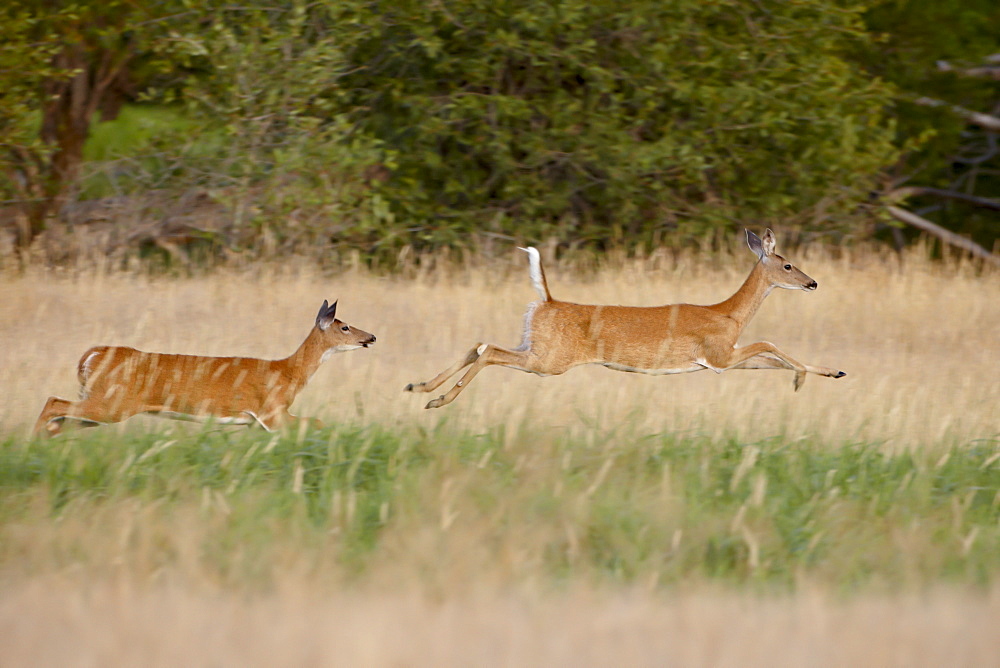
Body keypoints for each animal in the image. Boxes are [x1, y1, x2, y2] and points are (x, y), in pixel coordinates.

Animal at [34, 298, 376, 436]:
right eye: (344, 326)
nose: (371, 336)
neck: (287, 373)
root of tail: (91, 355)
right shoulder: (271, 411)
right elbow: (317, 421)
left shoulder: (258, 421)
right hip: (113, 402)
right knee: (52, 402)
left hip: (100, 402)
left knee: (61, 417)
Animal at [406, 228, 844, 408]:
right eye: (787, 264)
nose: (813, 283)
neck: (728, 313)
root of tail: (546, 299)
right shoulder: (719, 353)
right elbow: (770, 344)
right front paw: (809, 377)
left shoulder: (721, 361)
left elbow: (770, 359)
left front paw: (826, 374)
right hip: (550, 360)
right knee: (490, 352)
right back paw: (439, 400)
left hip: (533, 343)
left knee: (480, 343)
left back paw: (419, 387)